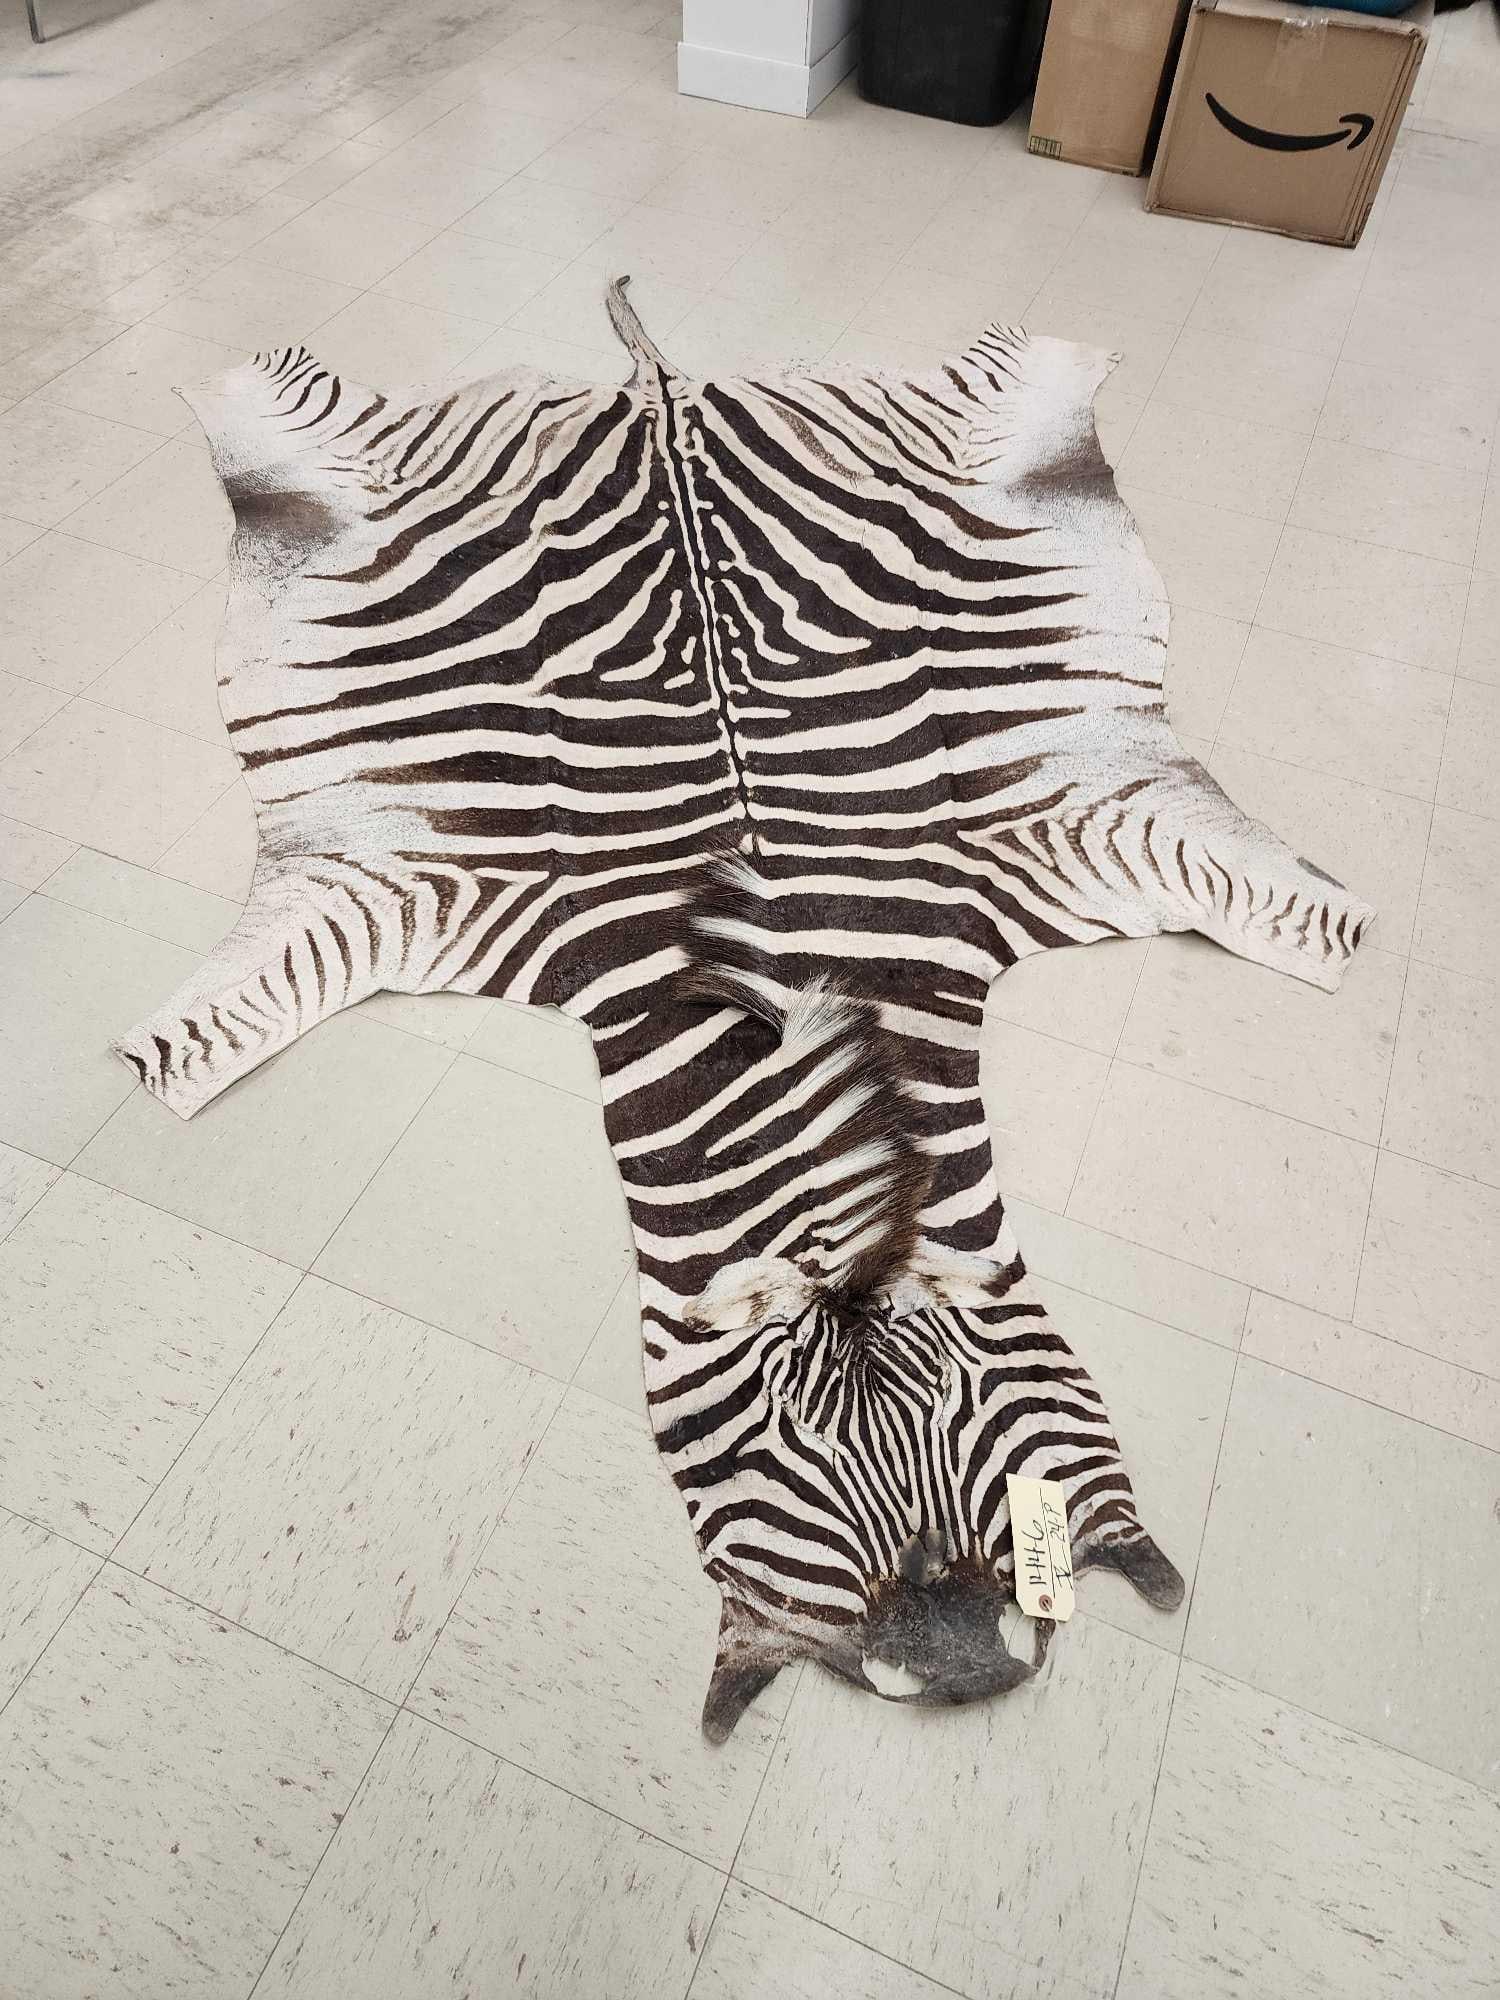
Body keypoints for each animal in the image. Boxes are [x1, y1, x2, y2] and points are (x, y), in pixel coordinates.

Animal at [115, 281, 1374, 1735]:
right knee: (286, 400)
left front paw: (1339, 922)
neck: (797, 991)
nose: (965, 1669)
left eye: (1012, 1534)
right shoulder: (416, 894)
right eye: (786, 1503)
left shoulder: (1065, 830)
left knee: (1009, 368)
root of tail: (661, 394)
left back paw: (1065, 365)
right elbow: (220, 1018)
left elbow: (1291, 908)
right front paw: (152, 1058)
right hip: (394, 464)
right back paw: (228, 391)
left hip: (924, 438)